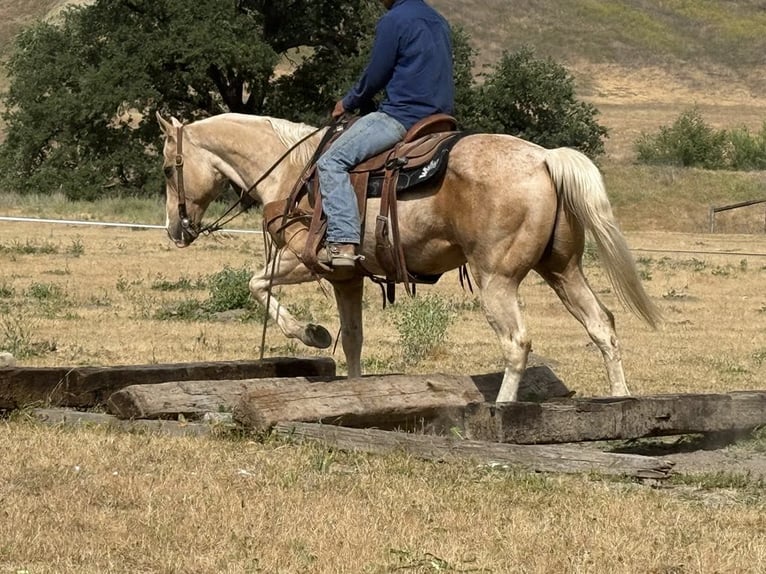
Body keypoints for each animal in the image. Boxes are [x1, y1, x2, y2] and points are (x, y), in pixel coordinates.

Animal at [157, 111, 661, 402]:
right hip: (562, 270)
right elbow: (354, 340)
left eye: (166, 168)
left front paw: (312, 334)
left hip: (496, 280)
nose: (175, 229)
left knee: (516, 341)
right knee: (602, 325)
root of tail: (544, 159)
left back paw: (502, 410)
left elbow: (256, 284)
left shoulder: (305, 260)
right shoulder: (347, 278)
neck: (294, 170)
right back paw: (619, 401)